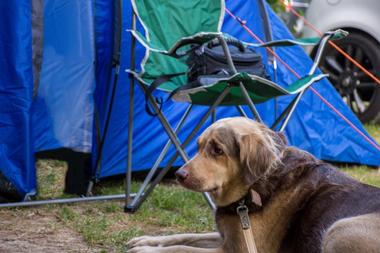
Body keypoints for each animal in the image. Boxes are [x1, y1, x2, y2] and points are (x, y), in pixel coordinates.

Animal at [127, 117, 380, 253]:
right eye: (198, 146)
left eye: (217, 150)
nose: (179, 174)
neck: (252, 188)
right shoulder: (229, 236)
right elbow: (183, 237)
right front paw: (146, 241)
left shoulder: (236, 249)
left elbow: (183, 249)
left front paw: (145, 249)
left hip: (339, 228)